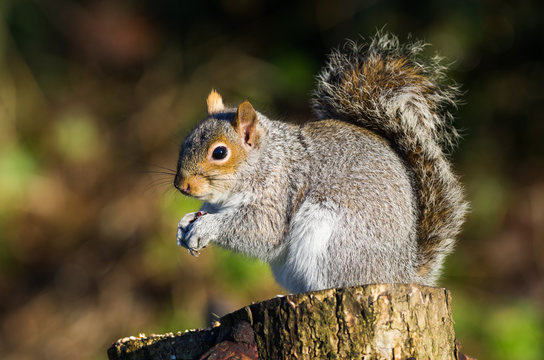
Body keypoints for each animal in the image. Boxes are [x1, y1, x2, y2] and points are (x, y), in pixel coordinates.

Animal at [173, 33, 468, 292]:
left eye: (220, 153)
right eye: (186, 141)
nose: (181, 186)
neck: (267, 159)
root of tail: (400, 275)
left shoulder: (279, 191)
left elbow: (261, 231)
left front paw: (207, 227)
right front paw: (186, 222)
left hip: (335, 244)